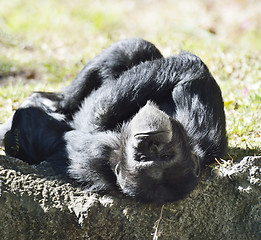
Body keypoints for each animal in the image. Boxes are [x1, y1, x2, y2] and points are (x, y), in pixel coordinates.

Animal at [0, 38, 226, 202]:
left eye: (166, 157)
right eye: (142, 158)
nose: (149, 143)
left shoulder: (97, 152)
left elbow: (94, 115)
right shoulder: (205, 132)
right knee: (134, 49)